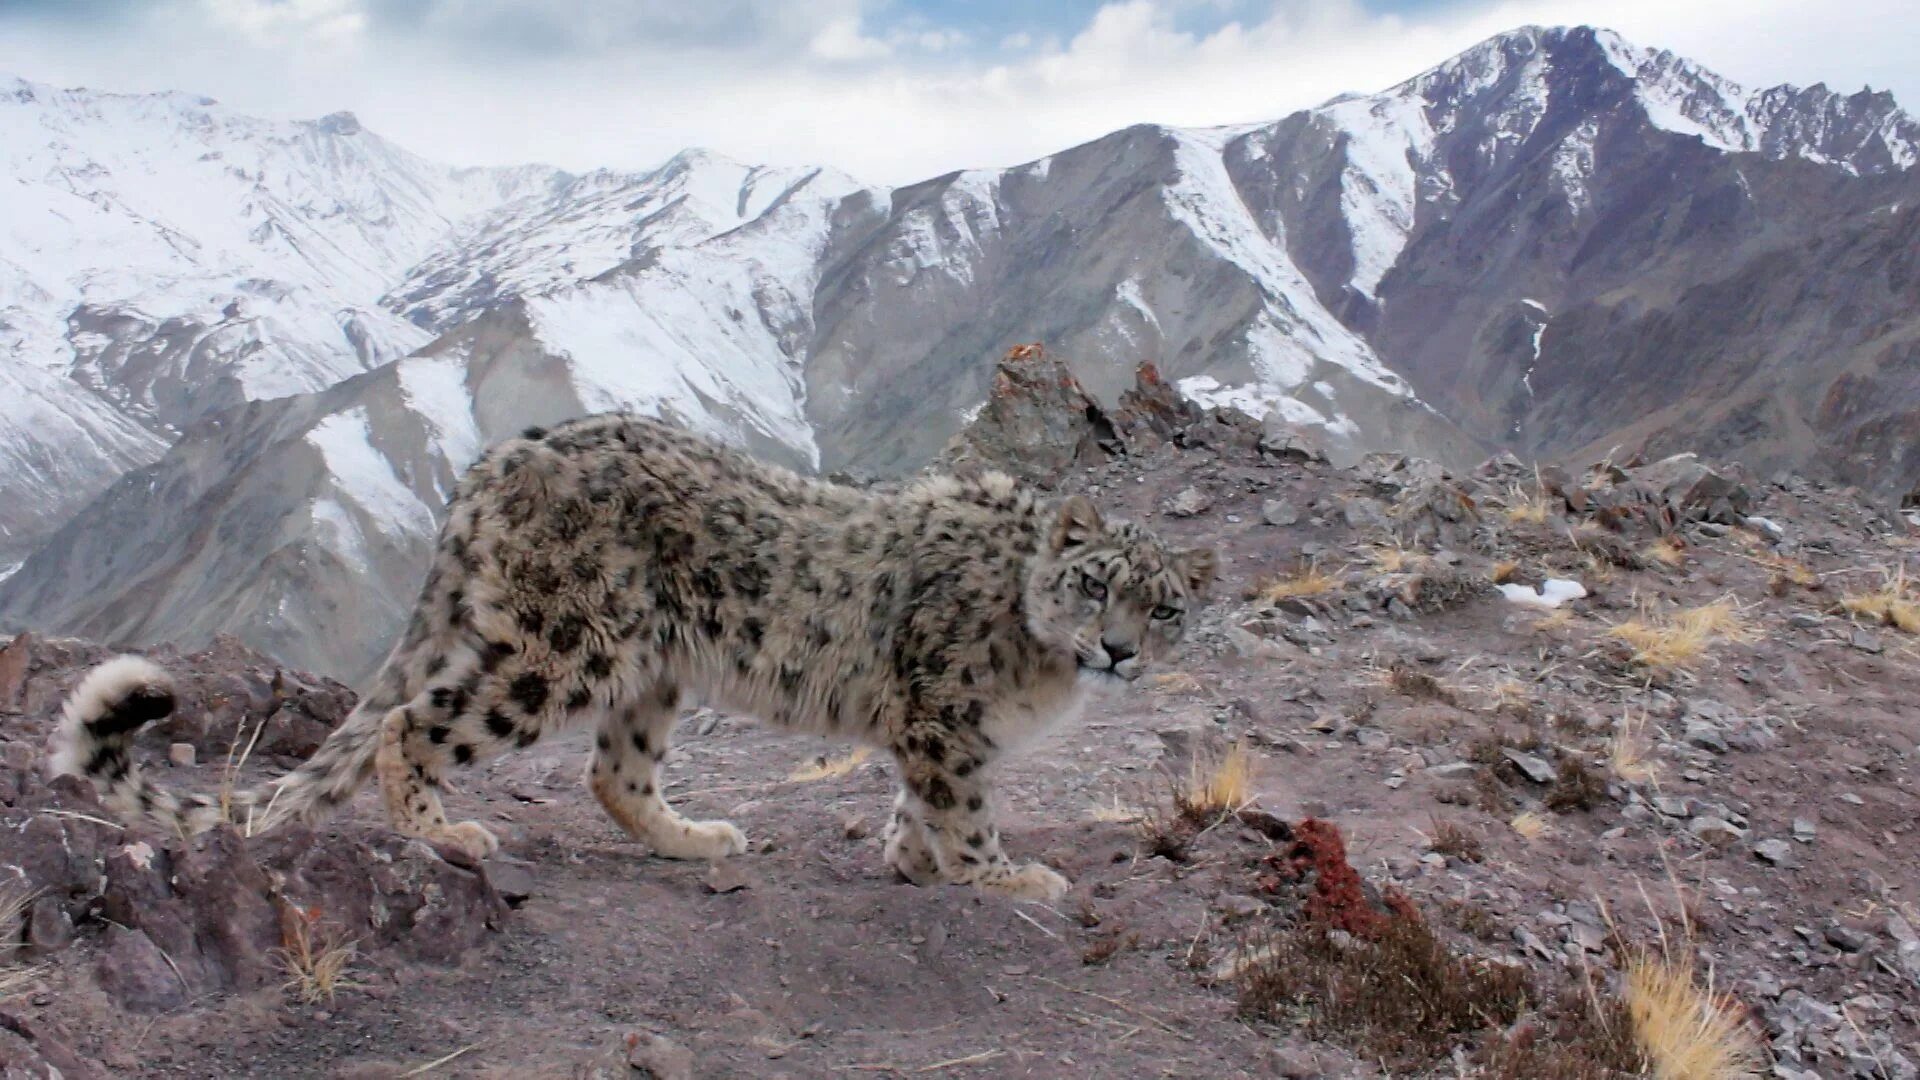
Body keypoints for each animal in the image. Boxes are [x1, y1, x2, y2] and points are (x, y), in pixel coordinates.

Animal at [52, 411, 1221, 899]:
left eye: (1162, 605)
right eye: (1094, 585)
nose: (1119, 653)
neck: (1042, 671)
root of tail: (497, 459)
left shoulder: (935, 727)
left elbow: (915, 801)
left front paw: (911, 859)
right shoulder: (942, 715)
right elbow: (963, 808)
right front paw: (1004, 874)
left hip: (649, 670)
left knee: (614, 774)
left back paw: (696, 839)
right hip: (564, 651)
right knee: (412, 720)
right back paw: (445, 832)